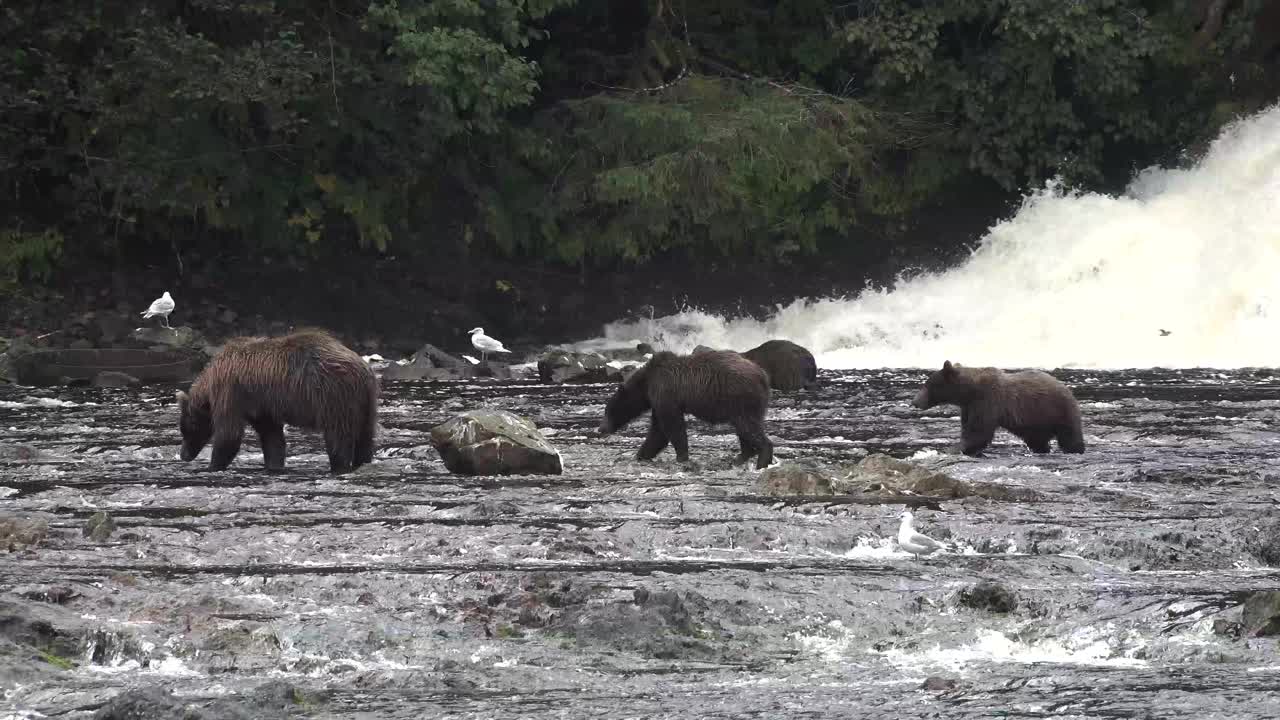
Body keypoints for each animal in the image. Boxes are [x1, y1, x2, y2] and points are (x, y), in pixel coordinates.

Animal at [175, 326, 376, 471]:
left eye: (187, 429)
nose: (184, 455)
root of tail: (362, 368)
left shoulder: (230, 393)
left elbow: (229, 433)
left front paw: (212, 466)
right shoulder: (261, 406)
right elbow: (272, 436)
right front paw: (274, 465)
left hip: (334, 396)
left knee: (337, 435)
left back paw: (339, 466)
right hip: (365, 401)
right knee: (365, 435)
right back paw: (362, 462)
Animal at [596, 348, 768, 471]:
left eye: (607, 411)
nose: (600, 429)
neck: (646, 384)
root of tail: (762, 375)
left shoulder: (665, 393)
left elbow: (671, 426)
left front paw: (681, 457)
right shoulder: (658, 401)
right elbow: (658, 432)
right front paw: (640, 455)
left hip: (741, 398)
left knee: (748, 428)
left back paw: (762, 460)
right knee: (744, 430)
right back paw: (740, 458)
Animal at [916, 358, 1085, 453]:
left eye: (927, 385)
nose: (915, 401)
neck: (970, 391)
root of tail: (1066, 388)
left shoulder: (987, 401)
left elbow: (979, 431)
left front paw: (955, 448)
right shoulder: (969, 407)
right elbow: (969, 428)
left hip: (1059, 410)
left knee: (1070, 436)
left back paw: (1075, 449)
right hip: (1037, 422)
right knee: (1037, 440)